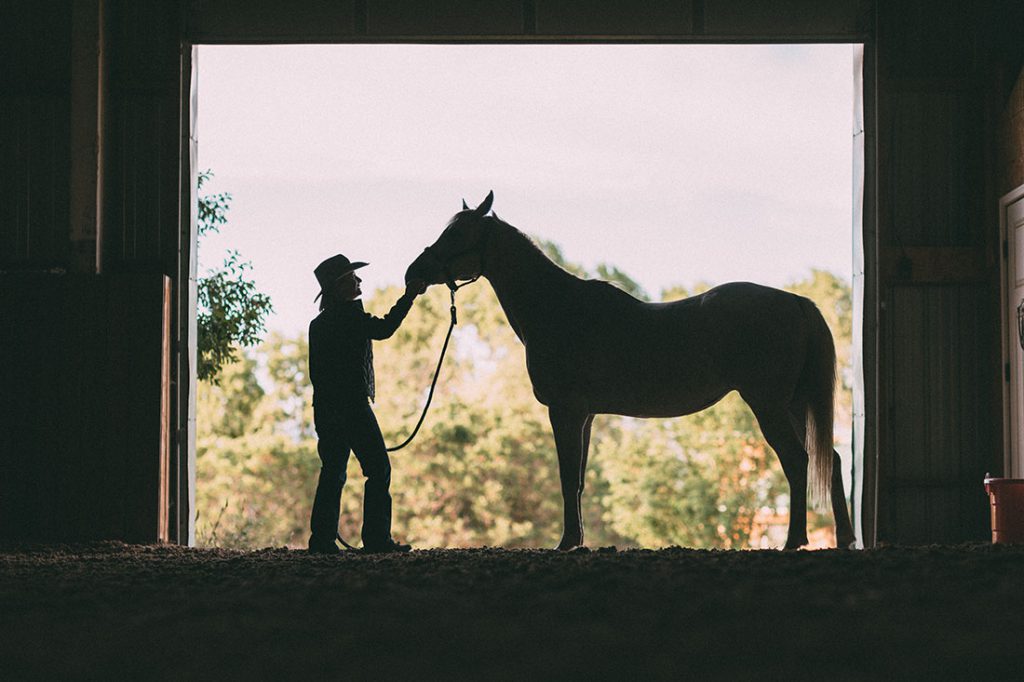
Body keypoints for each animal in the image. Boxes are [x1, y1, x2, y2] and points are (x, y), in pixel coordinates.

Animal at [405, 189, 856, 548]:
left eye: (457, 235)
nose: (413, 274)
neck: (557, 309)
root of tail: (796, 301)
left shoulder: (565, 411)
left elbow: (567, 476)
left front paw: (566, 543)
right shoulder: (584, 415)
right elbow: (578, 479)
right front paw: (577, 540)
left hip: (768, 405)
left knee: (797, 461)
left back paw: (794, 541)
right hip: (792, 405)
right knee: (830, 461)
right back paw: (845, 538)